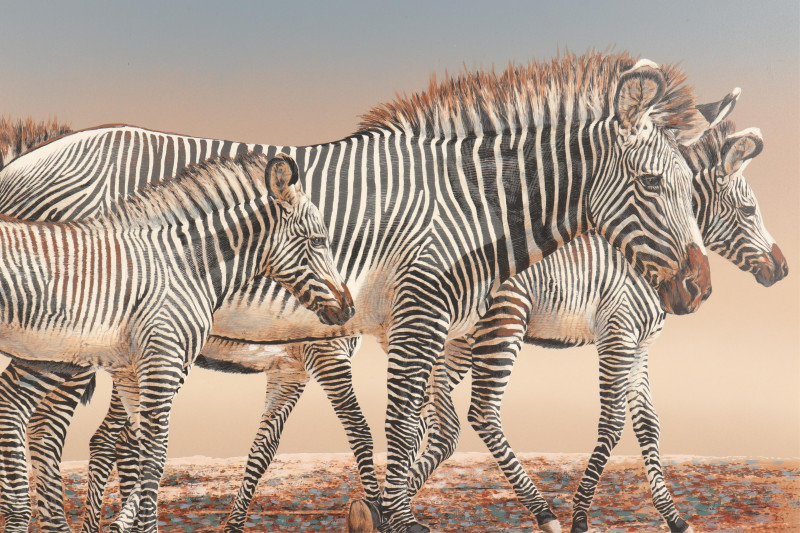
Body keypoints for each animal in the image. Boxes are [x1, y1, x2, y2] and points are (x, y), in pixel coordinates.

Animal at [0, 152, 353, 533]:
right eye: (318, 241)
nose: (348, 308)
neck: (185, 266)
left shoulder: (131, 369)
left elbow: (141, 452)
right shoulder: (163, 359)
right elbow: (155, 455)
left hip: (47, 354)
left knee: (17, 410)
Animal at [400, 122, 787, 533]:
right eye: (749, 209)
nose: (782, 269)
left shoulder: (640, 346)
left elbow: (648, 424)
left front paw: (674, 517)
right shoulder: (618, 335)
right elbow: (613, 424)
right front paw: (581, 516)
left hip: (459, 339)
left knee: (429, 415)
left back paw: (390, 503)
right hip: (504, 322)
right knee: (481, 412)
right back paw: (541, 512)